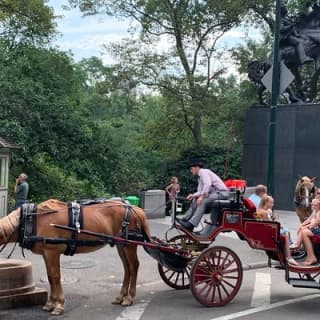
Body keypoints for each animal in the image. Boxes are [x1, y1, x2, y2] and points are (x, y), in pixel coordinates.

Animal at [0, 200, 152, 316]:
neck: (33, 219)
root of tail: (136, 209)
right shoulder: (46, 254)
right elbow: (50, 277)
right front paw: (50, 303)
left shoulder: (52, 252)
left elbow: (56, 277)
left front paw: (59, 305)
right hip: (121, 245)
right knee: (127, 268)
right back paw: (121, 296)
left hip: (130, 245)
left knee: (134, 266)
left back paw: (129, 297)